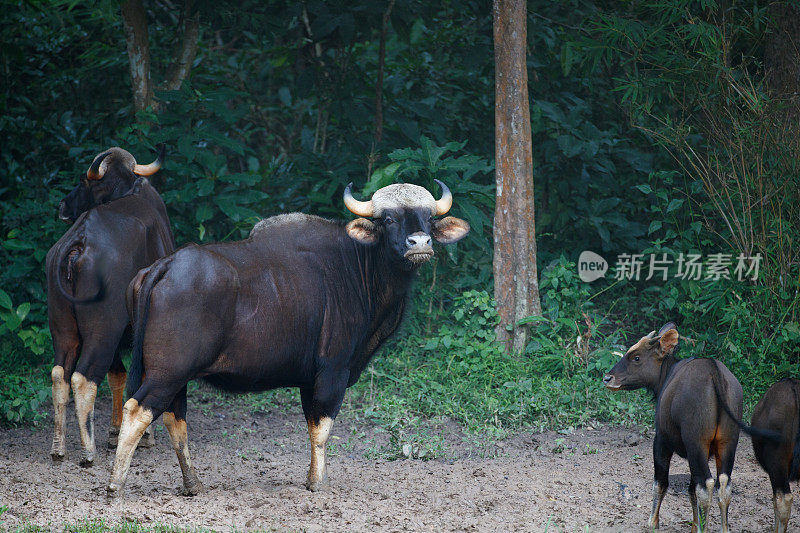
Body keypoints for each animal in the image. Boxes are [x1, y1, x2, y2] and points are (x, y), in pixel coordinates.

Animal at [46, 148, 173, 464]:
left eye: (82, 180)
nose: (63, 205)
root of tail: (78, 242)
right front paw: (145, 437)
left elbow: (118, 375)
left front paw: (116, 432)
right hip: (102, 330)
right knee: (83, 377)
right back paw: (87, 451)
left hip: (64, 327)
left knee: (60, 374)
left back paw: (59, 448)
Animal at [600, 322, 764, 532]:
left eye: (636, 357)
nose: (608, 378)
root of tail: (715, 373)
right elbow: (690, 489)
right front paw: (694, 525)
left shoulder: (661, 440)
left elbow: (660, 482)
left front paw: (653, 522)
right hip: (727, 442)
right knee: (723, 484)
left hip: (696, 442)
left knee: (705, 485)